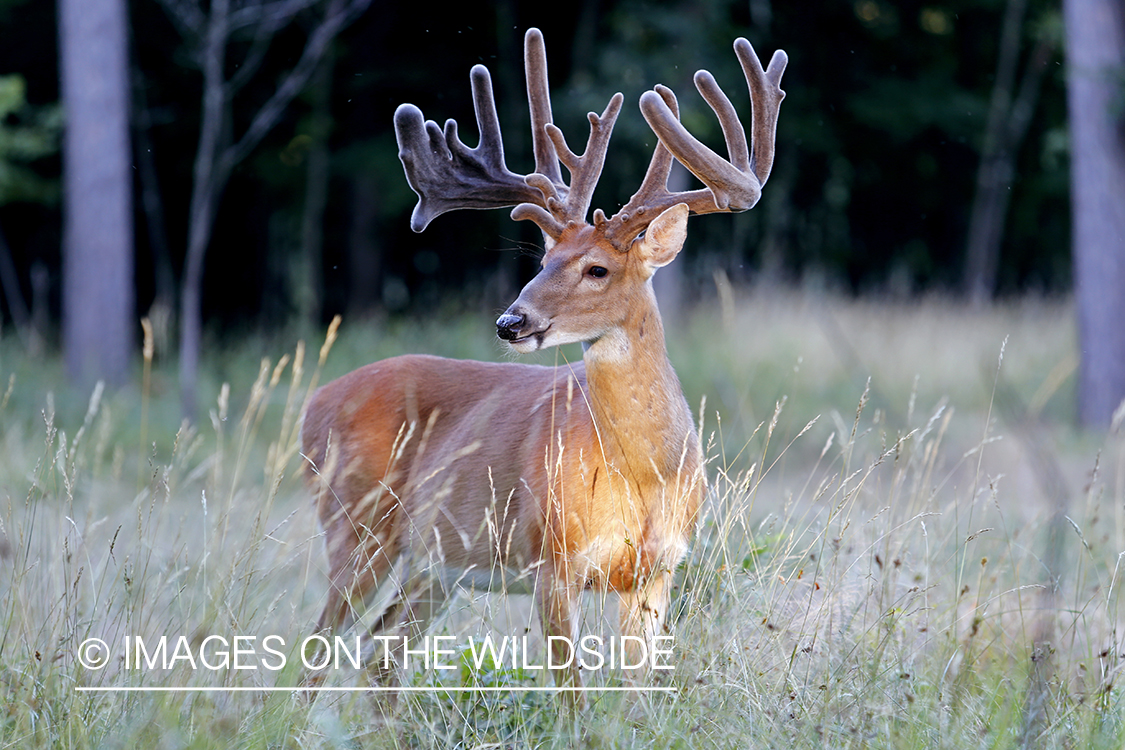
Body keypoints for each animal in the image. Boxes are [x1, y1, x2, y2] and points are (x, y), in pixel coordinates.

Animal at [303, 26, 787, 701]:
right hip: (355, 523)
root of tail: (312, 404)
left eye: (596, 268)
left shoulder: (657, 572)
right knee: (318, 651)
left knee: (381, 653)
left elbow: (636, 693)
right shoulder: (553, 560)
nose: (511, 322)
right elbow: (572, 695)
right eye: (541, 259)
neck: (645, 473)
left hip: (436, 564)